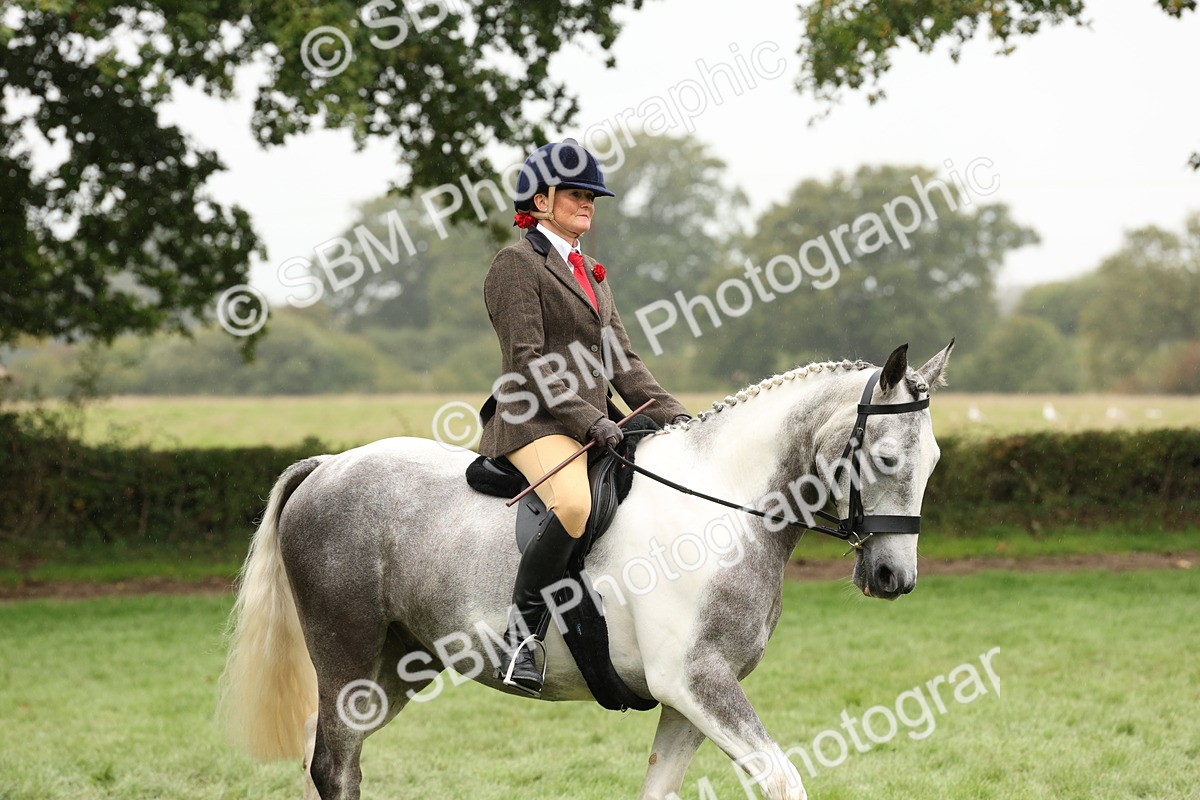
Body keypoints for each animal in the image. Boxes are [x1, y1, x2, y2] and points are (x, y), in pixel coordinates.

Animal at [217, 341, 953, 800]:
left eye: (934, 461)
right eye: (887, 458)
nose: (894, 576)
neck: (723, 507)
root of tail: (330, 465)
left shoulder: (689, 696)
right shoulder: (697, 682)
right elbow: (782, 780)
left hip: (393, 670)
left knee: (323, 761)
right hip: (346, 660)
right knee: (334, 766)